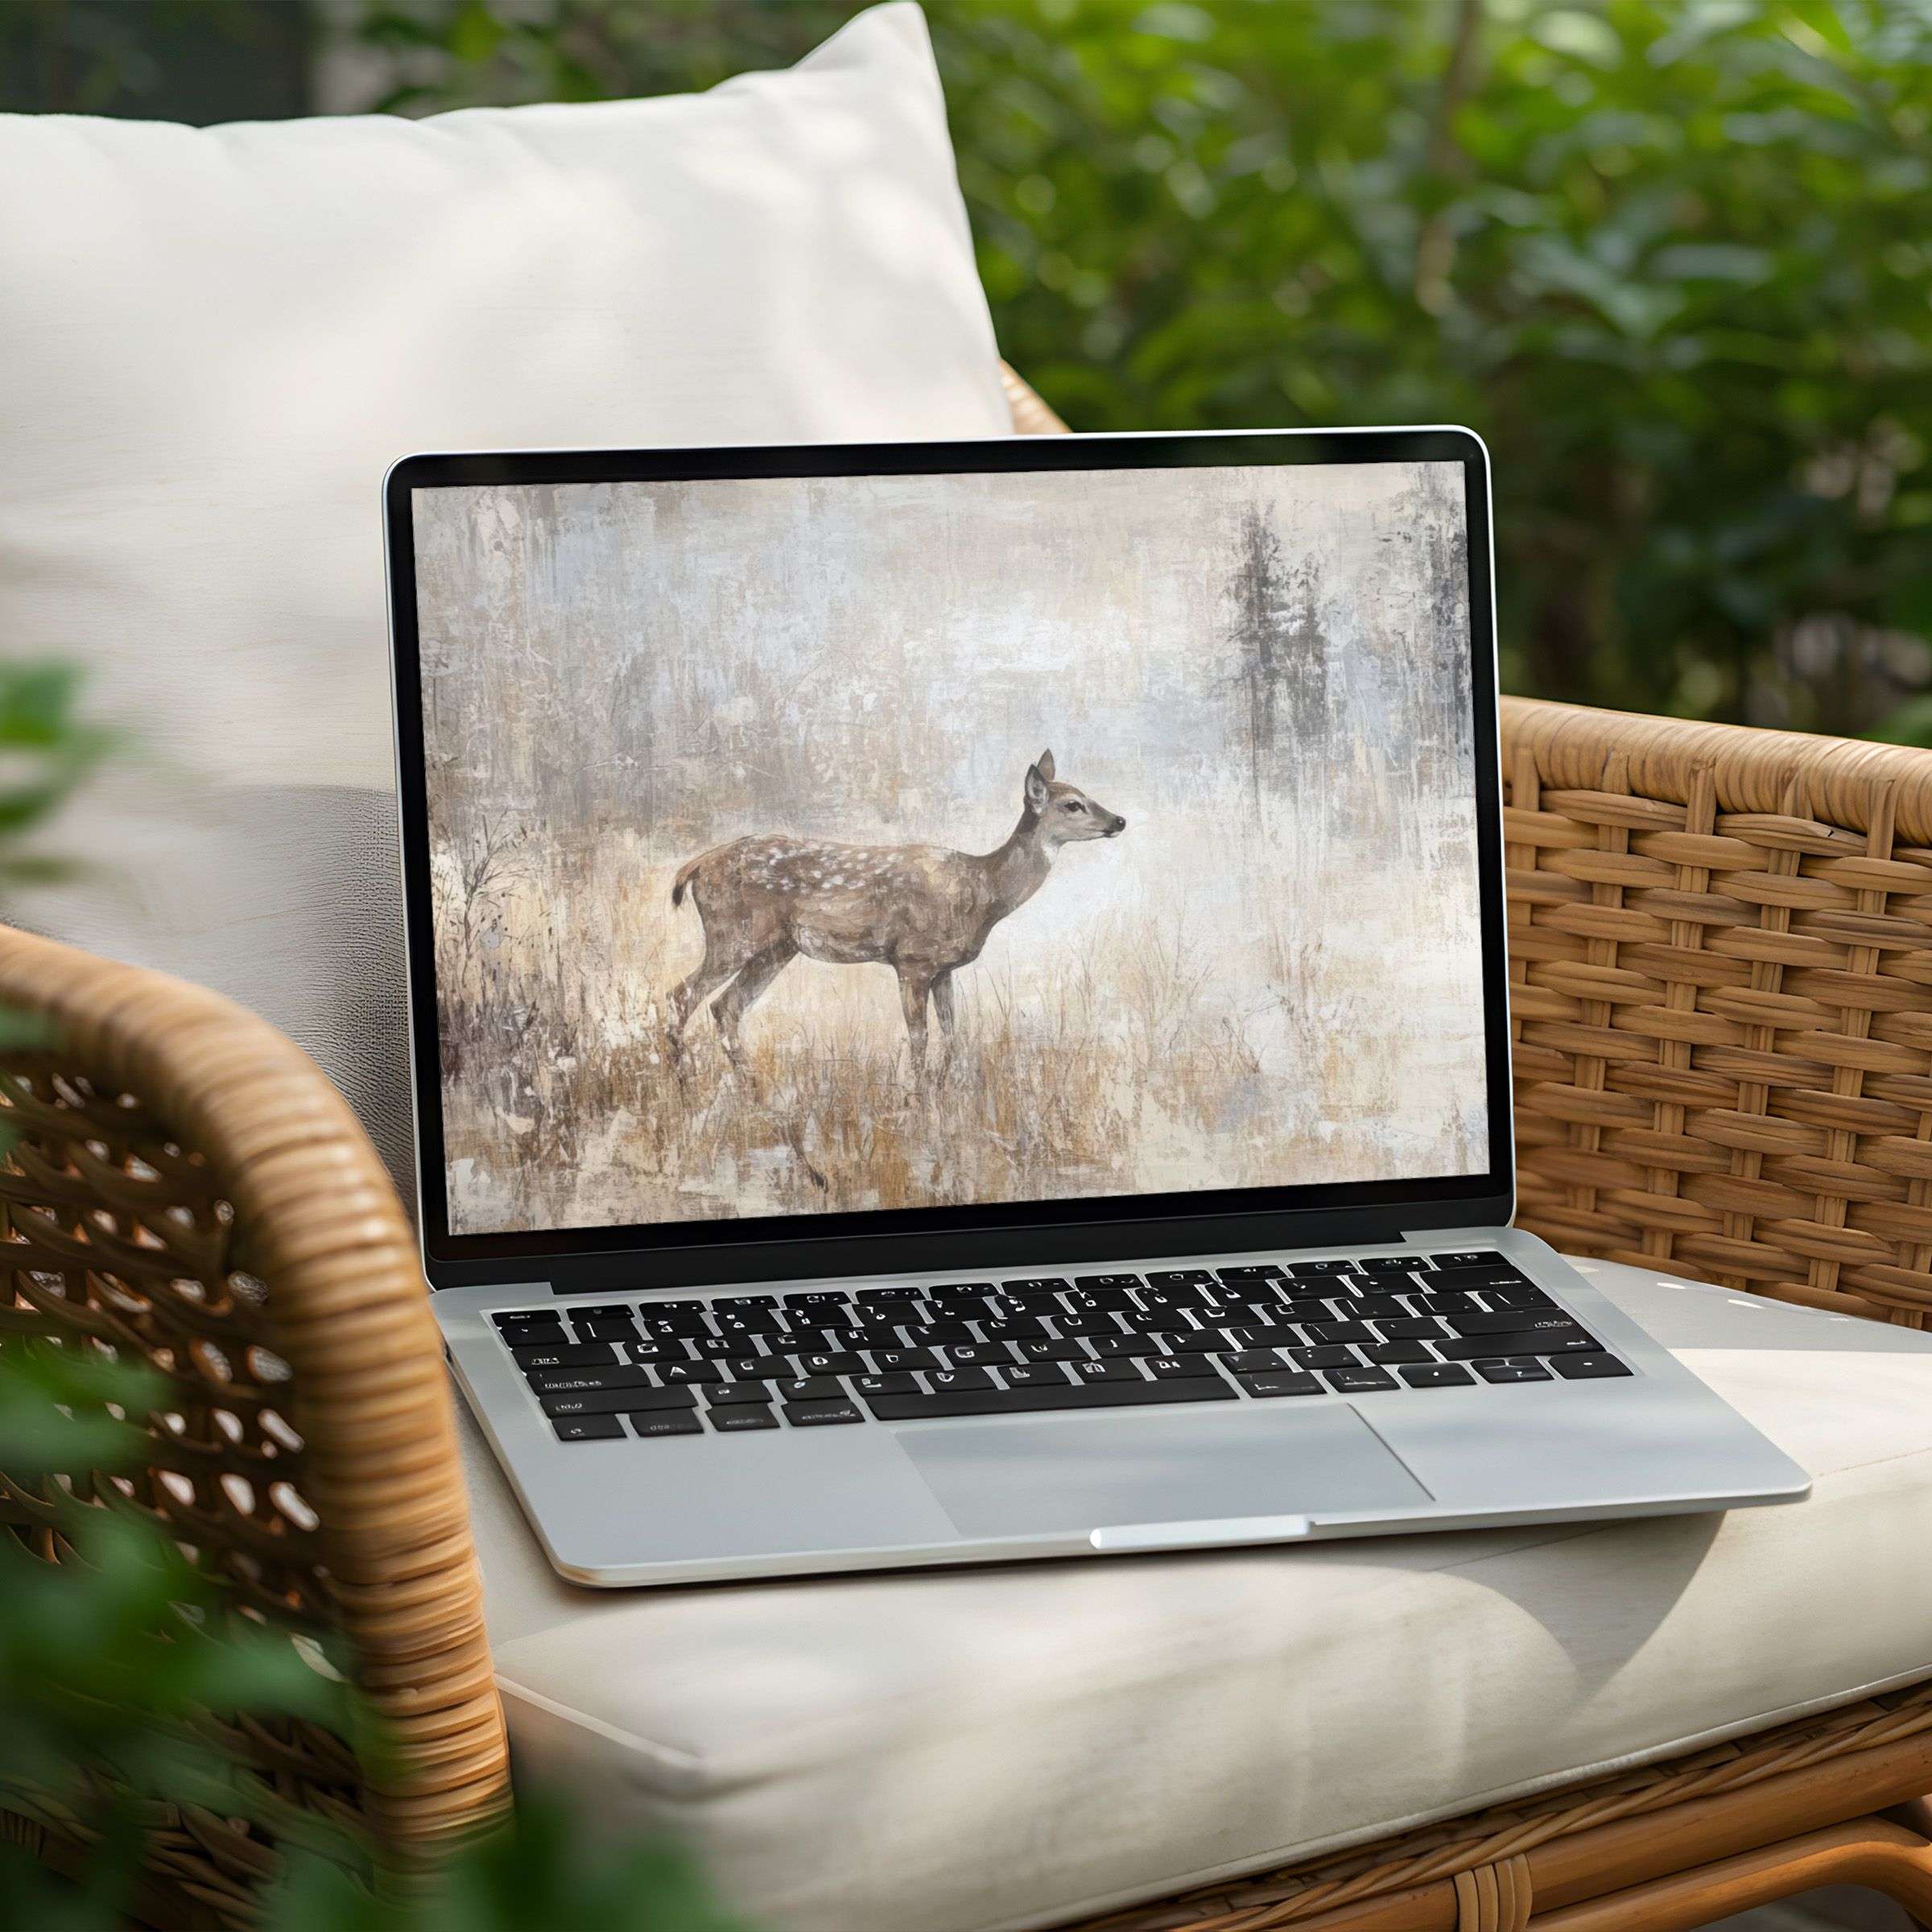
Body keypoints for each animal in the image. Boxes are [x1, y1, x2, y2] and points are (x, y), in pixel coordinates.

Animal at [666, 752, 1127, 1082]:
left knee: (726, 1006)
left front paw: (942, 1088)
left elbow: (952, 1034)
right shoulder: (912, 959)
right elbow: (920, 1037)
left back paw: (750, 1085)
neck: (982, 892)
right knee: (682, 994)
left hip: (776, 948)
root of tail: (696, 866)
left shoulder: (944, 967)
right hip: (733, 934)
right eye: (1073, 804)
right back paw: (684, 1080)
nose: (1120, 820)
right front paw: (917, 1099)